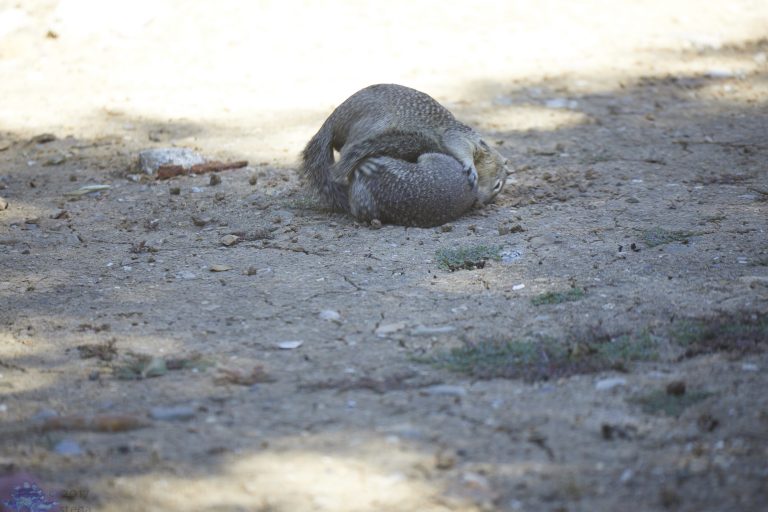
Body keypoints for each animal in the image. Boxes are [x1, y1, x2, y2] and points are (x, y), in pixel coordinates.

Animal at [300, 83, 509, 223]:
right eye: (497, 185)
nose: (480, 203)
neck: (483, 148)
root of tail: (332, 120)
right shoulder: (458, 136)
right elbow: (460, 148)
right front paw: (470, 166)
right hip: (374, 122)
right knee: (346, 150)